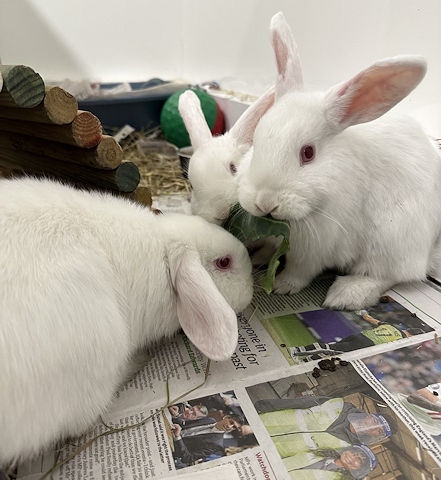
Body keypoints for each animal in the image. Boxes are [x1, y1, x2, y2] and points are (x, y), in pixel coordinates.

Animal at [237, 12, 440, 312]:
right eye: (257, 140)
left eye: (308, 153)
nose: (265, 203)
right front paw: (259, 256)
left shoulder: (316, 247)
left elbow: (300, 271)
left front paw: (283, 286)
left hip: (393, 240)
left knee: (391, 275)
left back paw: (347, 294)